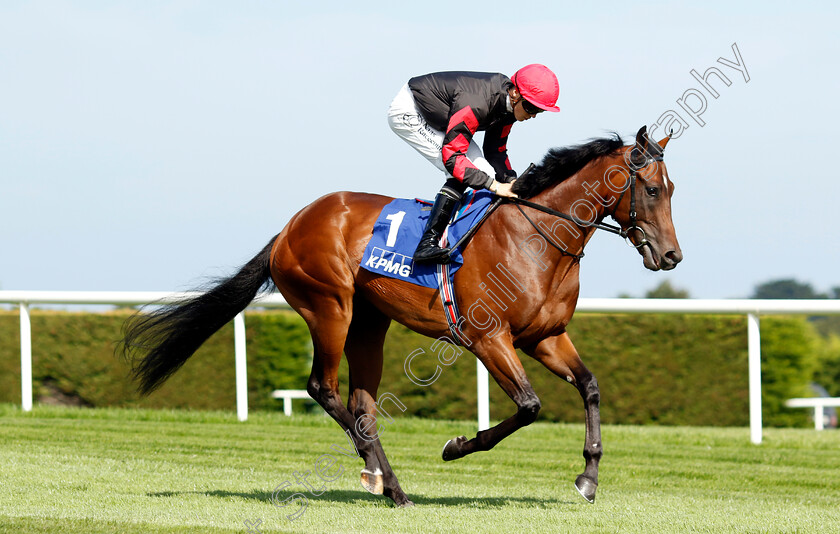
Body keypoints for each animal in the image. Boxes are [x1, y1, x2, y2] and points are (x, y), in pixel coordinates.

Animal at [120, 124, 684, 510]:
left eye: (673, 189)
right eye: (653, 190)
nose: (671, 256)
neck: (536, 239)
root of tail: (289, 227)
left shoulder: (546, 336)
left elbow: (589, 387)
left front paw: (588, 478)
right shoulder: (488, 338)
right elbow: (529, 406)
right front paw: (457, 446)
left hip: (370, 322)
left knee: (361, 405)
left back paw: (387, 482)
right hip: (330, 307)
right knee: (323, 389)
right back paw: (379, 477)